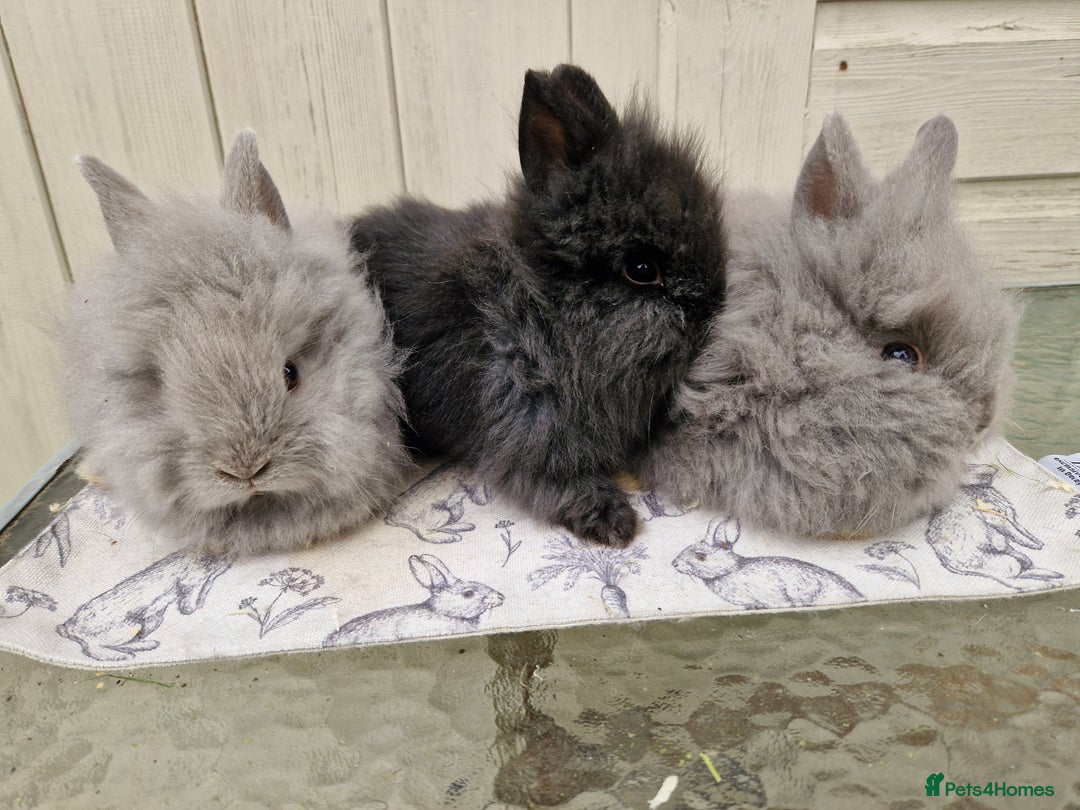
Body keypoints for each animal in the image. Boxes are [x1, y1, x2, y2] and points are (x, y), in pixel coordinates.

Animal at [56, 549, 232, 661]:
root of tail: (70, 625)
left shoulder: (208, 579)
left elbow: (206, 588)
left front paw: (200, 603)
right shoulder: (189, 582)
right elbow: (188, 600)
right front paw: (191, 608)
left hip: (152, 621)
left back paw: (148, 645)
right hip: (128, 627)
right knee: (93, 648)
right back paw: (121, 656)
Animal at [350, 64, 726, 548]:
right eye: (642, 269)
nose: (714, 309)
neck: (538, 312)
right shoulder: (529, 429)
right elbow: (555, 482)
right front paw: (614, 522)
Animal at [925, 464, 1062, 589]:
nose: (993, 468)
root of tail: (948, 563)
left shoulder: (1011, 518)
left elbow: (1022, 531)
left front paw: (1038, 543)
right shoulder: (999, 519)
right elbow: (1016, 534)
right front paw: (1036, 546)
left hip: (1016, 558)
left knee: (1024, 570)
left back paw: (1054, 575)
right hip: (1005, 563)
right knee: (1014, 581)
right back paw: (1051, 583)